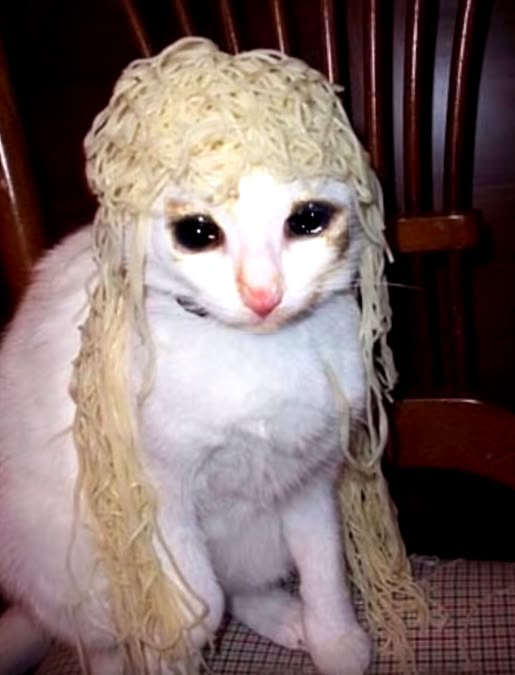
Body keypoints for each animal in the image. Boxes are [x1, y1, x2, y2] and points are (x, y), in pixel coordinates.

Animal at [0, 170, 370, 675]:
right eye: (197, 232)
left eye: (308, 220)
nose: (263, 294)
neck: (257, 350)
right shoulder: (158, 498)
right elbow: (200, 602)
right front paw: (177, 645)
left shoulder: (311, 482)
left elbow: (325, 568)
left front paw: (336, 641)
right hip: (71, 577)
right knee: (107, 646)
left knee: (243, 587)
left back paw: (285, 617)